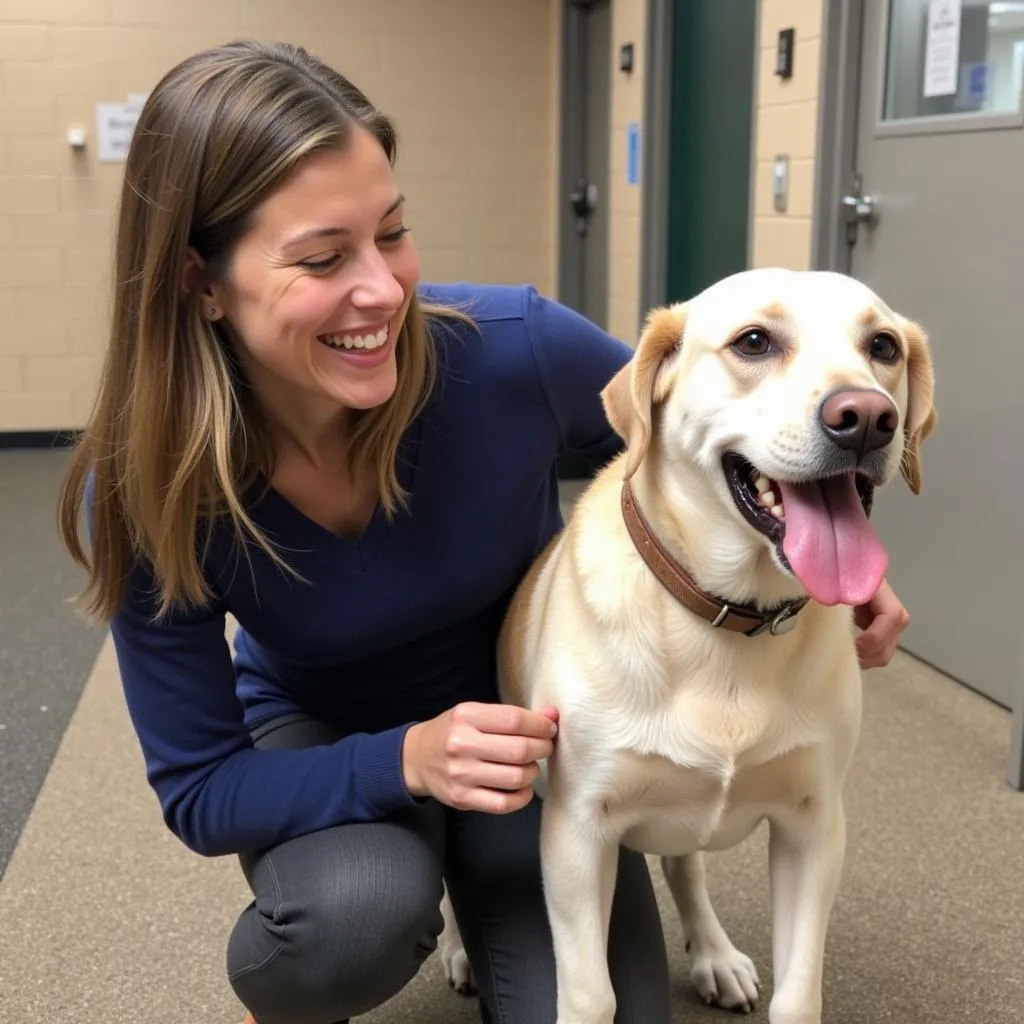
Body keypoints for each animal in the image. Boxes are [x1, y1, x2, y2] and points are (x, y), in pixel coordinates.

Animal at [436, 268, 933, 1019]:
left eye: (882, 346)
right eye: (754, 342)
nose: (867, 417)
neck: (729, 618)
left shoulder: (814, 827)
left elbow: (797, 995)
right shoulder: (577, 831)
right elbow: (590, 993)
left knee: (684, 864)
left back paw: (715, 954)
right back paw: (461, 951)